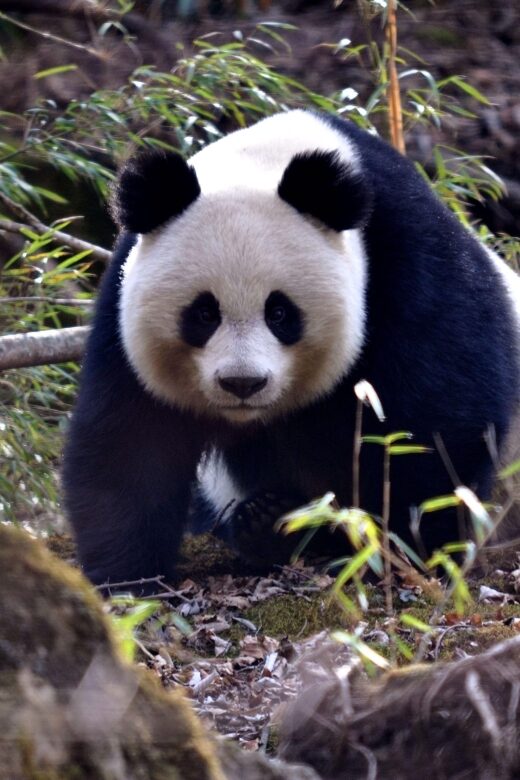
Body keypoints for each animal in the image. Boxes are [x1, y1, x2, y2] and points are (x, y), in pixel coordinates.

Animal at [63, 109, 520, 588]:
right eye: (204, 313)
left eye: (279, 313)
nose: (242, 383)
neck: (264, 160)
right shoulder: (121, 306)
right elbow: (131, 438)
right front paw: (127, 575)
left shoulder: (409, 262)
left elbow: (438, 419)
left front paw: (409, 547)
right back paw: (269, 523)